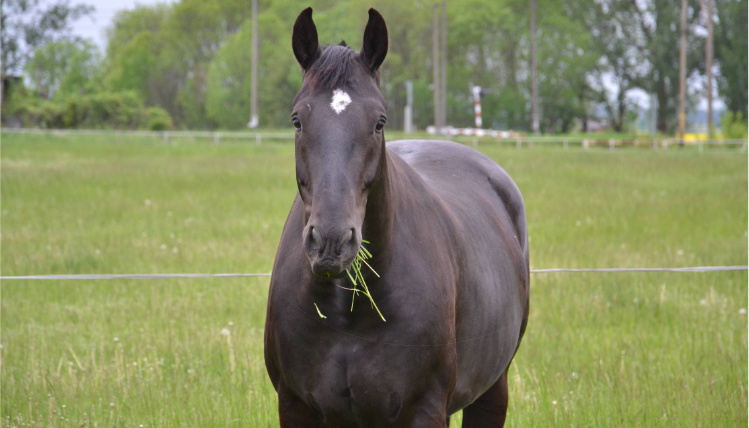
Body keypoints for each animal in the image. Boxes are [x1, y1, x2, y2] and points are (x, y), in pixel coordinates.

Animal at [266, 7, 528, 428]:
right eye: (296, 120)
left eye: (379, 121)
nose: (331, 242)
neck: (348, 310)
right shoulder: (295, 407)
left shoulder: (424, 409)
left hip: (492, 389)